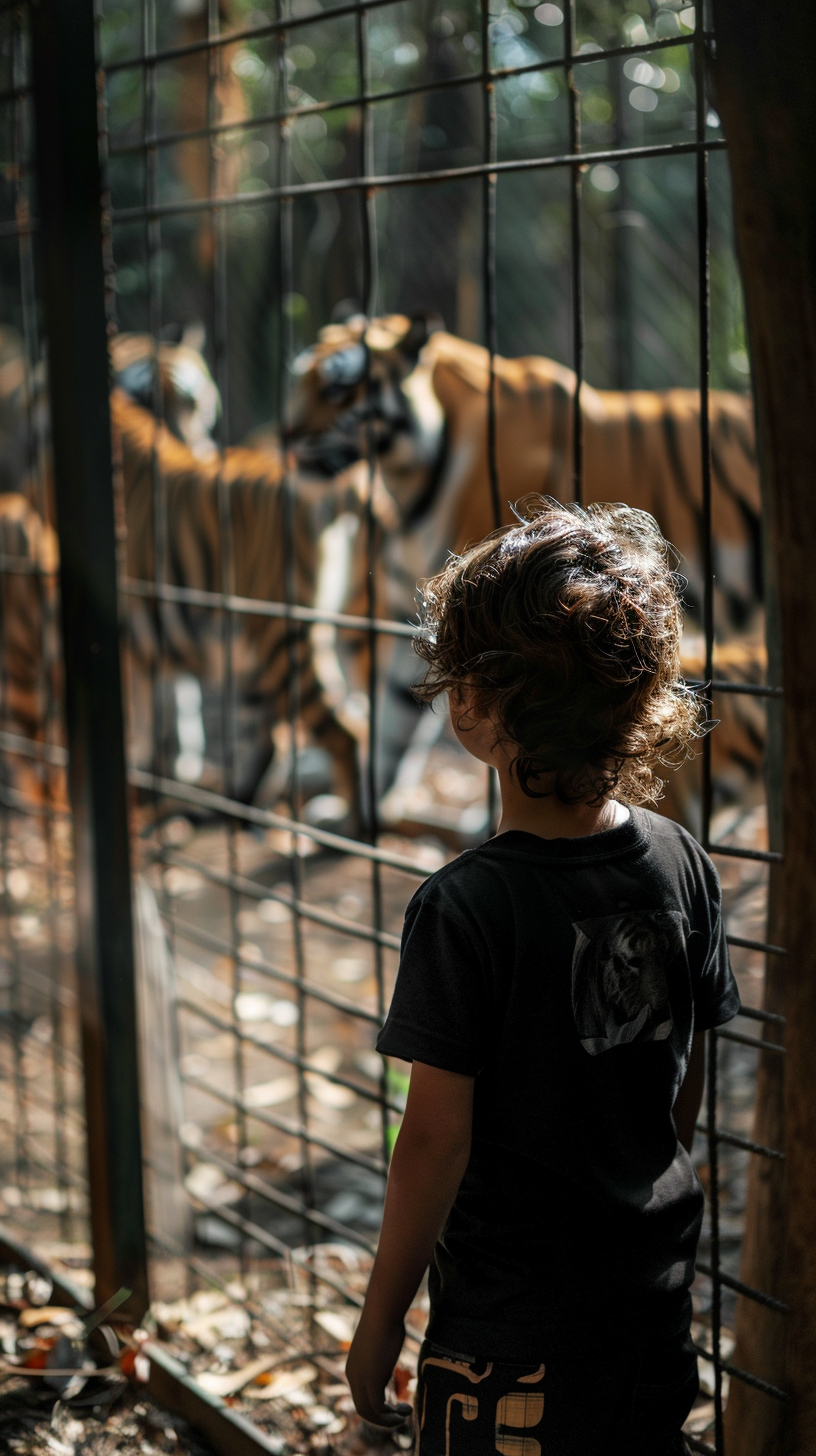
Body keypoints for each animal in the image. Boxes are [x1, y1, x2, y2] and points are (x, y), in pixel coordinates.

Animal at [285, 313, 763, 809]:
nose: (285, 435)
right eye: (298, 379)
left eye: (339, 389)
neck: (407, 476)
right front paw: (362, 809)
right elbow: (394, 721)